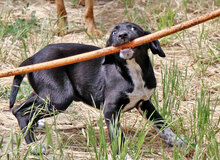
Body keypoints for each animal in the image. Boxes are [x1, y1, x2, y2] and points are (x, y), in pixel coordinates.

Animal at [9, 21, 184, 154]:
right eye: (114, 32)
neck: (132, 69)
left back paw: (36, 127)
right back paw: (34, 146)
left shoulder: (144, 102)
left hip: (46, 93)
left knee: (18, 109)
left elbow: (161, 123)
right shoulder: (110, 110)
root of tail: (32, 58)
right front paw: (123, 155)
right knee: (23, 112)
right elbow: (118, 136)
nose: (122, 35)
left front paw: (177, 140)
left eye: (134, 28)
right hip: (60, 96)